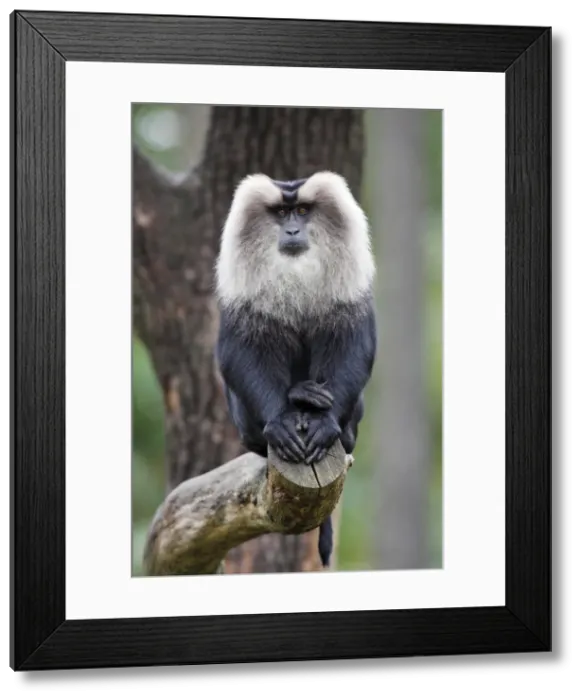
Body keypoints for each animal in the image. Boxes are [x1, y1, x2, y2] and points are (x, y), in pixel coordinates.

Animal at [214, 171, 377, 568]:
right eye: (280, 214)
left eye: (302, 211)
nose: (291, 231)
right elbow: (239, 352)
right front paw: (281, 422)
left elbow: (354, 345)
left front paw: (324, 424)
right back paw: (298, 397)